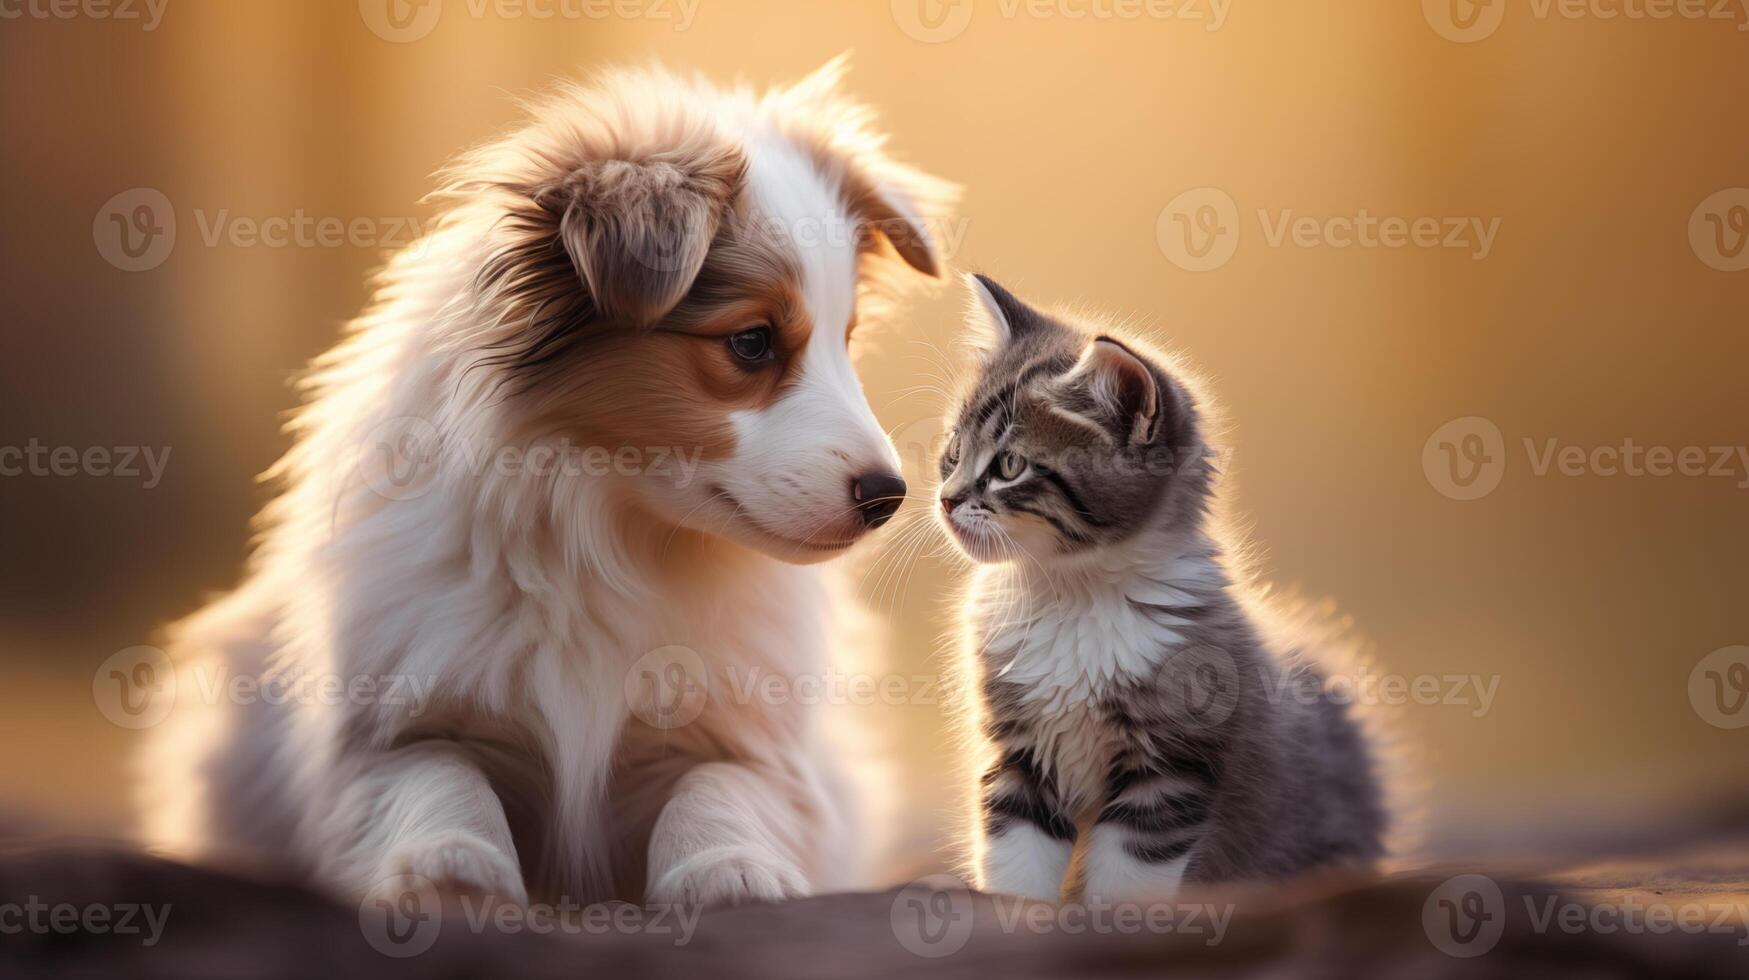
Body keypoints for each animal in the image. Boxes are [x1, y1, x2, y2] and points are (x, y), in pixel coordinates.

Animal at [141, 57, 951, 910]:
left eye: (844, 340)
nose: (889, 496)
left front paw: (730, 871)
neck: (611, 533)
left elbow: (718, 787)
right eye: (753, 342)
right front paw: (451, 869)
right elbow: (436, 776)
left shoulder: (749, 735)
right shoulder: (389, 723)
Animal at [937, 276, 1385, 903]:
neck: (1071, 594)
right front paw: (1015, 912)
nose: (947, 498)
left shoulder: (1173, 763)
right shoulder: (1018, 752)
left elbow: (1129, 877)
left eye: (1008, 466)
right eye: (953, 450)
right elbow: (1017, 859)